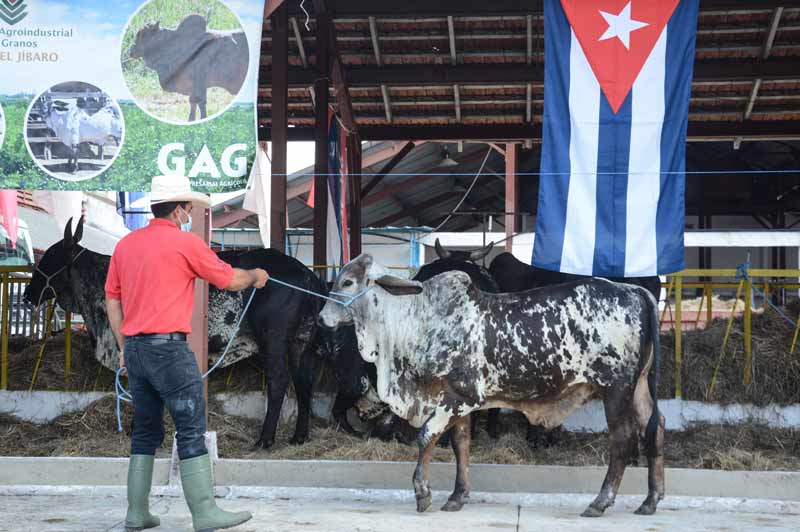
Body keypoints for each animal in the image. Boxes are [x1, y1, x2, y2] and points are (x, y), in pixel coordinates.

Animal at [25, 218, 326, 450]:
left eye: (49, 257)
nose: (28, 294)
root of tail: (308, 276)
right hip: (302, 343)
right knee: (304, 382)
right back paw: (299, 436)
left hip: (273, 341)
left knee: (279, 382)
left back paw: (265, 439)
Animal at [318, 256, 664, 516]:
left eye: (348, 282)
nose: (322, 318)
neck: (417, 318)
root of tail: (634, 291)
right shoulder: (459, 400)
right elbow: (461, 445)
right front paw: (457, 496)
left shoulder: (456, 398)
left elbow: (426, 436)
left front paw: (423, 493)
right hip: (639, 387)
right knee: (655, 427)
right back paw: (650, 500)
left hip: (616, 388)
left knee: (622, 439)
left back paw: (600, 502)